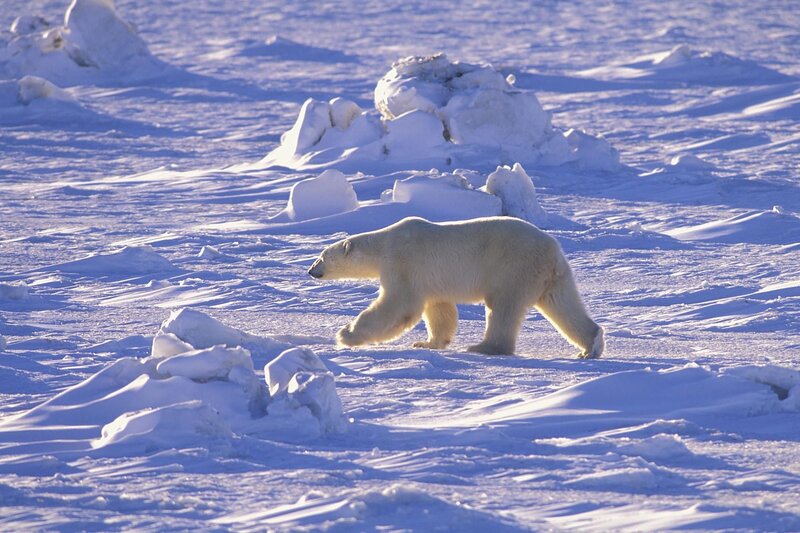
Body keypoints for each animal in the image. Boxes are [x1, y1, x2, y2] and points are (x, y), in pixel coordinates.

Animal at [308, 216, 604, 358]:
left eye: (321, 256)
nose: (311, 271)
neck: (384, 244)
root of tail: (552, 250)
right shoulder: (430, 280)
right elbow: (440, 310)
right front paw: (427, 342)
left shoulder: (403, 263)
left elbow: (399, 306)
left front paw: (345, 334)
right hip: (553, 277)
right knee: (563, 305)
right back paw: (590, 346)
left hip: (513, 267)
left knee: (503, 307)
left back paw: (484, 347)